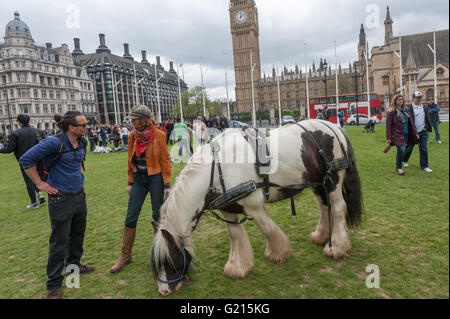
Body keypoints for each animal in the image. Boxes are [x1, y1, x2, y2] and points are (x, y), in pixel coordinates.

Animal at [150, 120, 362, 298]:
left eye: (170, 257)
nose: (163, 290)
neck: (217, 169)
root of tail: (333, 126)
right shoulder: (228, 207)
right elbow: (235, 234)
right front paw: (237, 266)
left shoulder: (253, 206)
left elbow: (267, 229)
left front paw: (278, 252)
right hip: (318, 182)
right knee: (324, 206)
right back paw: (322, 236)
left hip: (333, 179)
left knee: (337, 208)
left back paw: (337, 247)